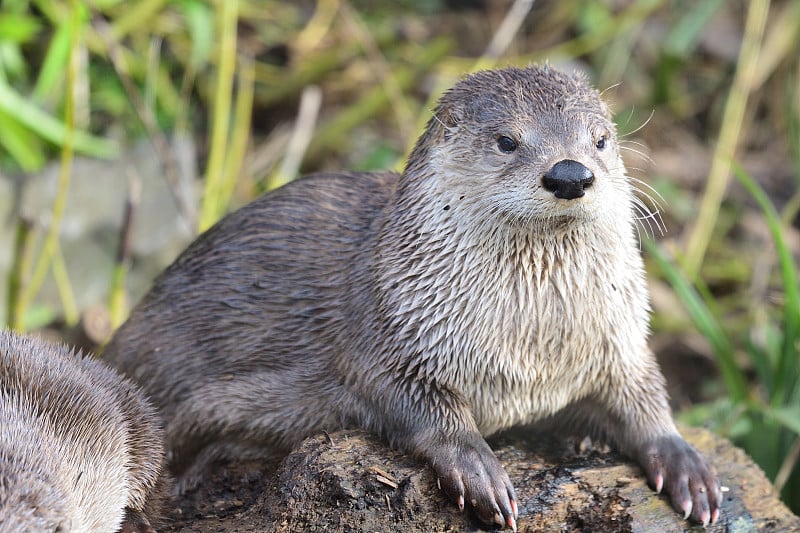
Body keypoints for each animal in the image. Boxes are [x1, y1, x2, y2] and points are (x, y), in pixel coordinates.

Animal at [101, 65, 724, 528]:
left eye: (600, 139)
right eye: (507, 141)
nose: (570, 173)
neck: (532, 347)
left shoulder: (618, 343)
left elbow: (644, 396)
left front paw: (684, 462)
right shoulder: (388, 332)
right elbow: (412, 404)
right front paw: (479, 468)